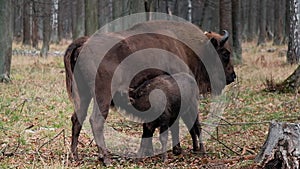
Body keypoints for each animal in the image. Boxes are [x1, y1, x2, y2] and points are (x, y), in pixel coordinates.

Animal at [63, 20, 237, 165]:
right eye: (225, 53)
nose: (232, 76)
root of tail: (84, 43)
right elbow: (190, 122)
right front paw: (191, 150)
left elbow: (152, 125)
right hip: (102, 95)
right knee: (96, 121)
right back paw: (105, 158)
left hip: (83, 94)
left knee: (77, 119)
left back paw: (75, 156)